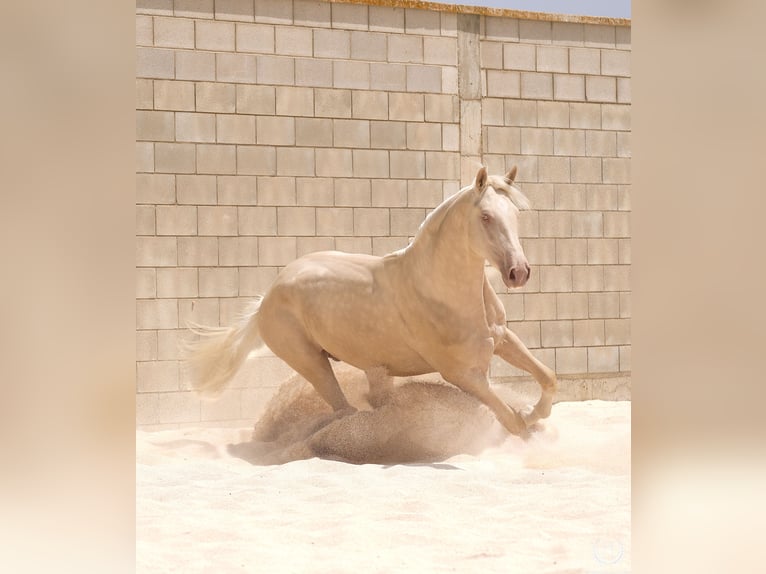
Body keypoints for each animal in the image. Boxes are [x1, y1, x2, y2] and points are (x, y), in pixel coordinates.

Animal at [186, 166, 557, 438]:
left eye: (515, 214)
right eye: (485, 217)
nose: (519, 273)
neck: (441, 290)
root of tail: (268, 296)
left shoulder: (503, 340)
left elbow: (548, 377)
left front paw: (534, 413)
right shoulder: (461, 373)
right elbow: (510, 419)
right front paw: (524, 418)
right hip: (311, 363)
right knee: (344, 409)